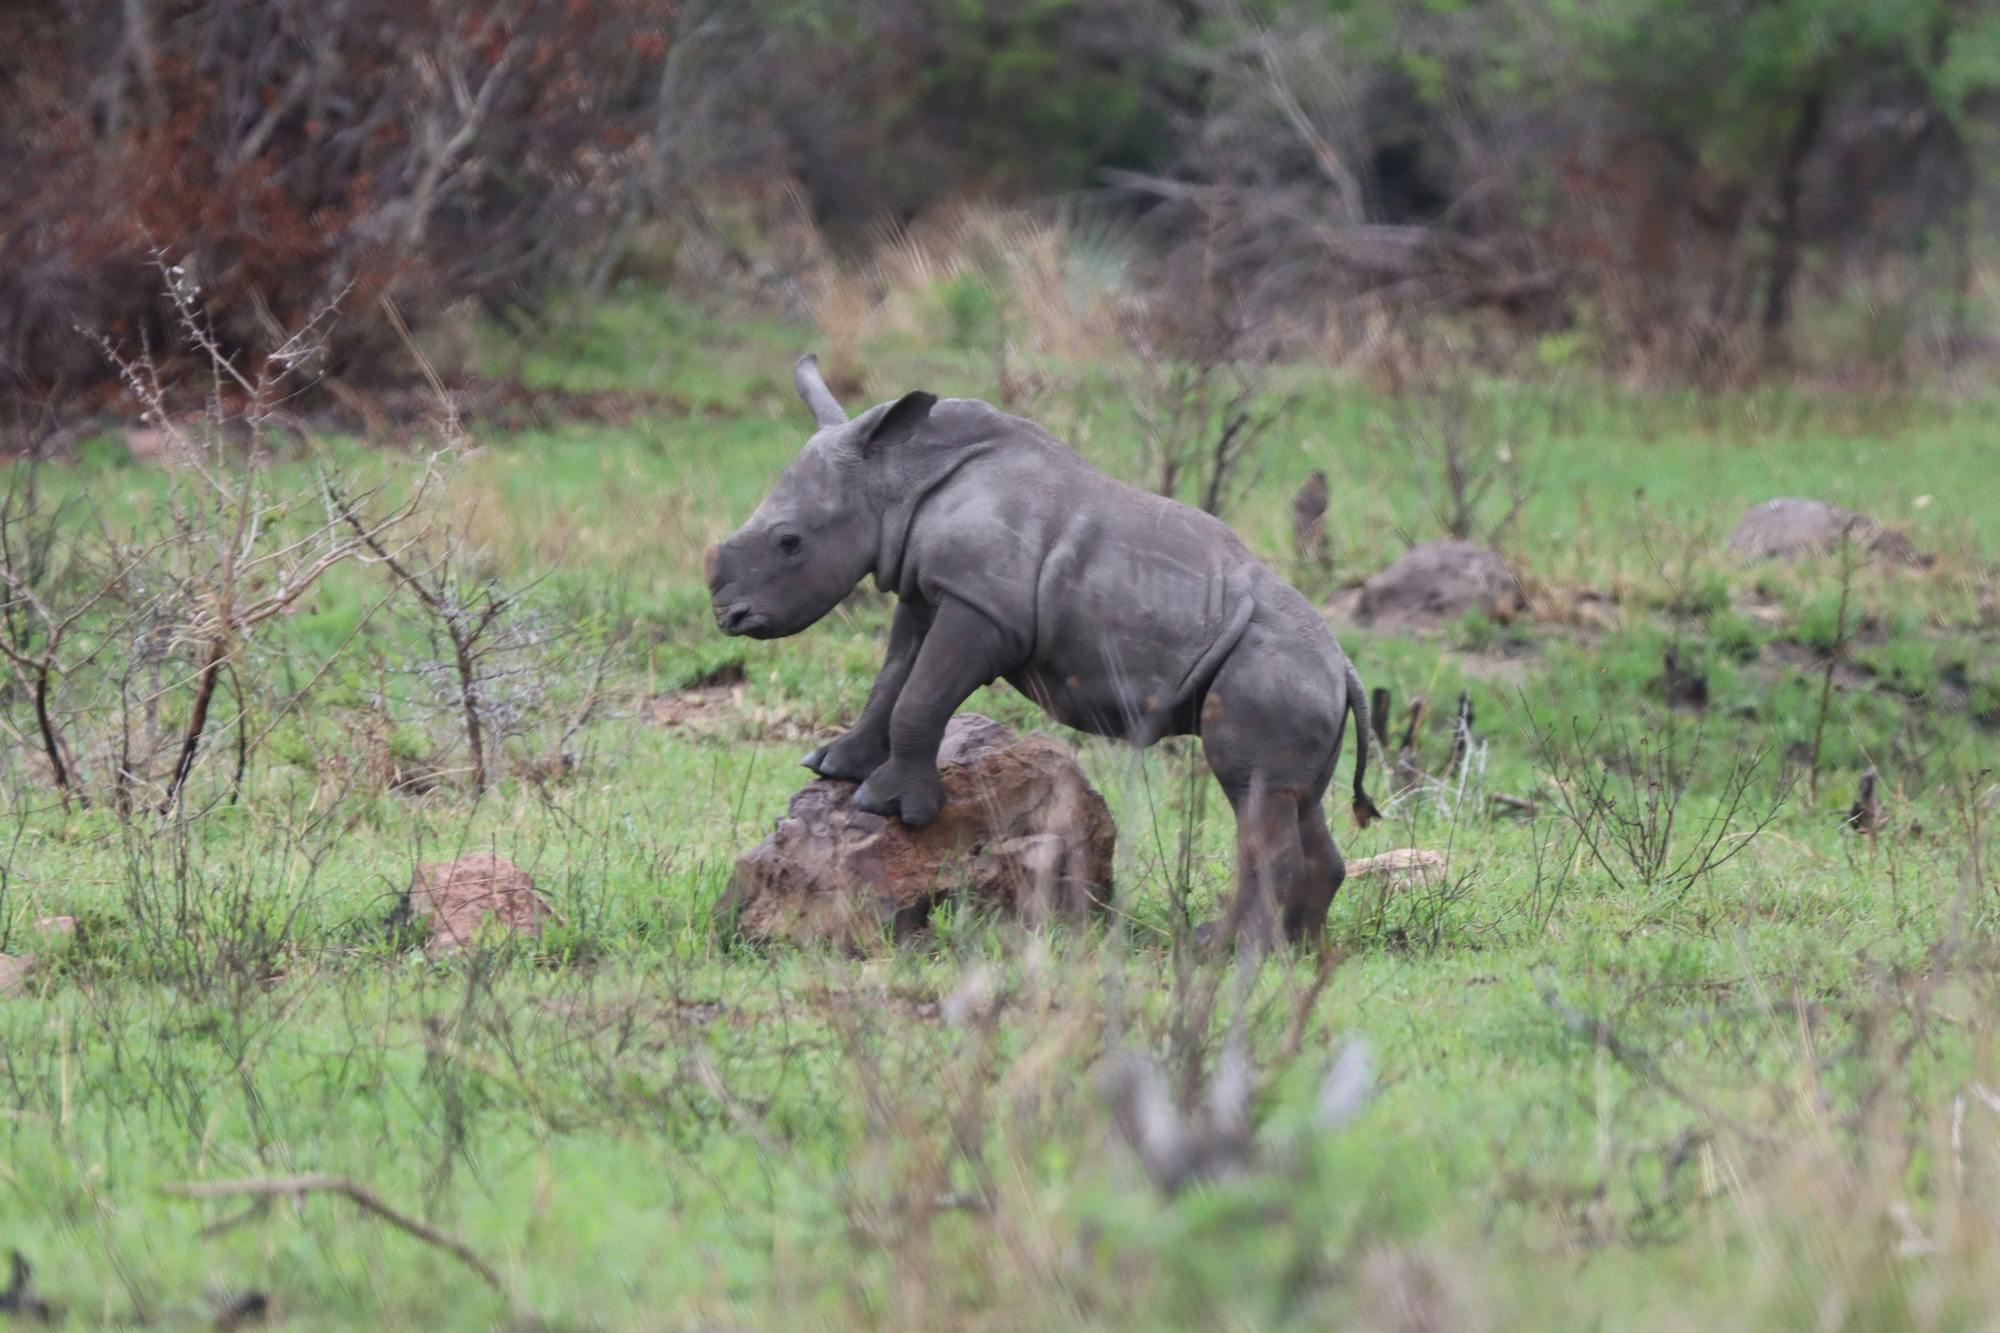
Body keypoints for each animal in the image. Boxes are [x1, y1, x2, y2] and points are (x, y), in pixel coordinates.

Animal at [705, 356, 1380, 946]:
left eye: (790, 542)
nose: (727, 616)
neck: (896, 478)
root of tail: (1345, 665)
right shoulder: (929, 591)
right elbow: (891, 680)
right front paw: (833, 767)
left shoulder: (983, 608)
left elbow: (920, 696)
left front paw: (890, 807)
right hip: (1294, 675)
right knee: (1292, 799)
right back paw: (1299, 953)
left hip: (1272, 671)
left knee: (1254, 799)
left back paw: (1227, 951)